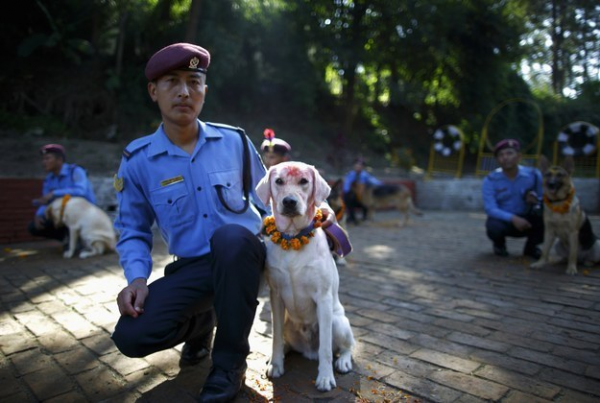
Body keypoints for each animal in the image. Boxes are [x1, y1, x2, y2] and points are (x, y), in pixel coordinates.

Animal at [254, 162, 356, 394]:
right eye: (279, 181)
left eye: (304, 181)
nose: (289, 201)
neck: (293, 237)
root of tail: (309, 352)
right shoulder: (275, 296)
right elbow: (275, 337)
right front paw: (276, 364)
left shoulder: (324, 298)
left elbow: (326, 348)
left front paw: (325, 378)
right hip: (287, 321)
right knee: (285, 341)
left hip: (338, 321)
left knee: (346, 346)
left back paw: (343, 362)